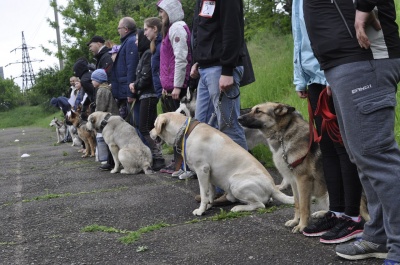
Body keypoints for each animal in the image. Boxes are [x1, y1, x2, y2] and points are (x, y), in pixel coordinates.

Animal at [150, 112, 294, 216]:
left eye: (154, 124)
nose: (149, 132)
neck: (186, 132)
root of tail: (272, 187)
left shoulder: (202, 170)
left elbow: (203, 194)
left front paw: (201, 210)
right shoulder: (209, 173)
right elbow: (210, 193)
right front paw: (209, 205)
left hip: (235, 182)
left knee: (260, 205)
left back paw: (238, 207)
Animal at [238, 101, 328, 231]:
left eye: (258, 111)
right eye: (251, 110)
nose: (238, 118)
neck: (283, 134)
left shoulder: (303, 180)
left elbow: (304, 206)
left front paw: (302, 226)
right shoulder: (294, 181)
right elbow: (297, 203)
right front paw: (295, 221)